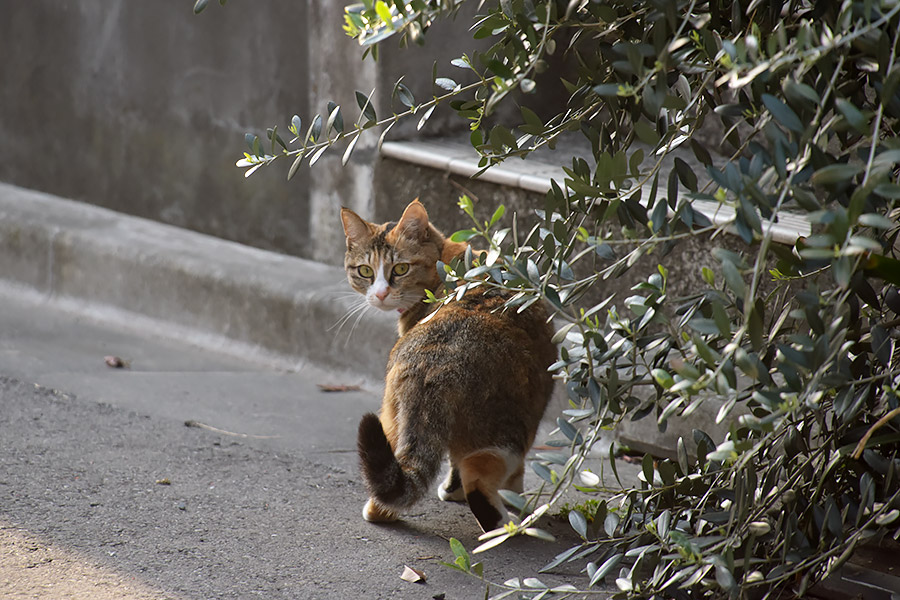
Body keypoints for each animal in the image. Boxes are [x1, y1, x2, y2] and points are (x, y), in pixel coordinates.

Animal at [342, 200, 556, 528]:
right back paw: (503, 524)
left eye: (400, 268)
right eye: (365, 271)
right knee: (478, 472)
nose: (379, 294)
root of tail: (433, 363)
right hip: (509, 423)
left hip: (392, 415)